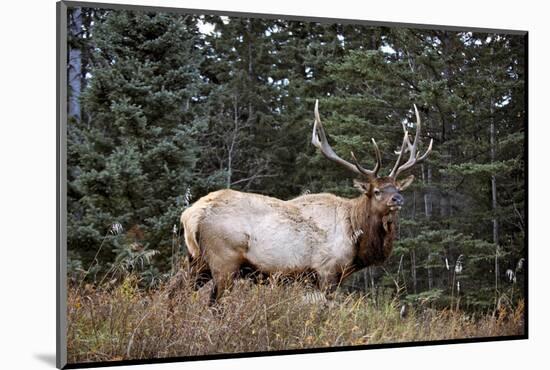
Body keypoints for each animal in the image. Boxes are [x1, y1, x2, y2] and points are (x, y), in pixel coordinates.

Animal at [183, 99, 434, 304]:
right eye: (377, 191)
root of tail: (191, 215)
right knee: (214, 303)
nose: (398, 198)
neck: (356, 236)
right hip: (224, 260)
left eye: (396, 187)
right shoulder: (326, 270)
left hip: (197, 261)